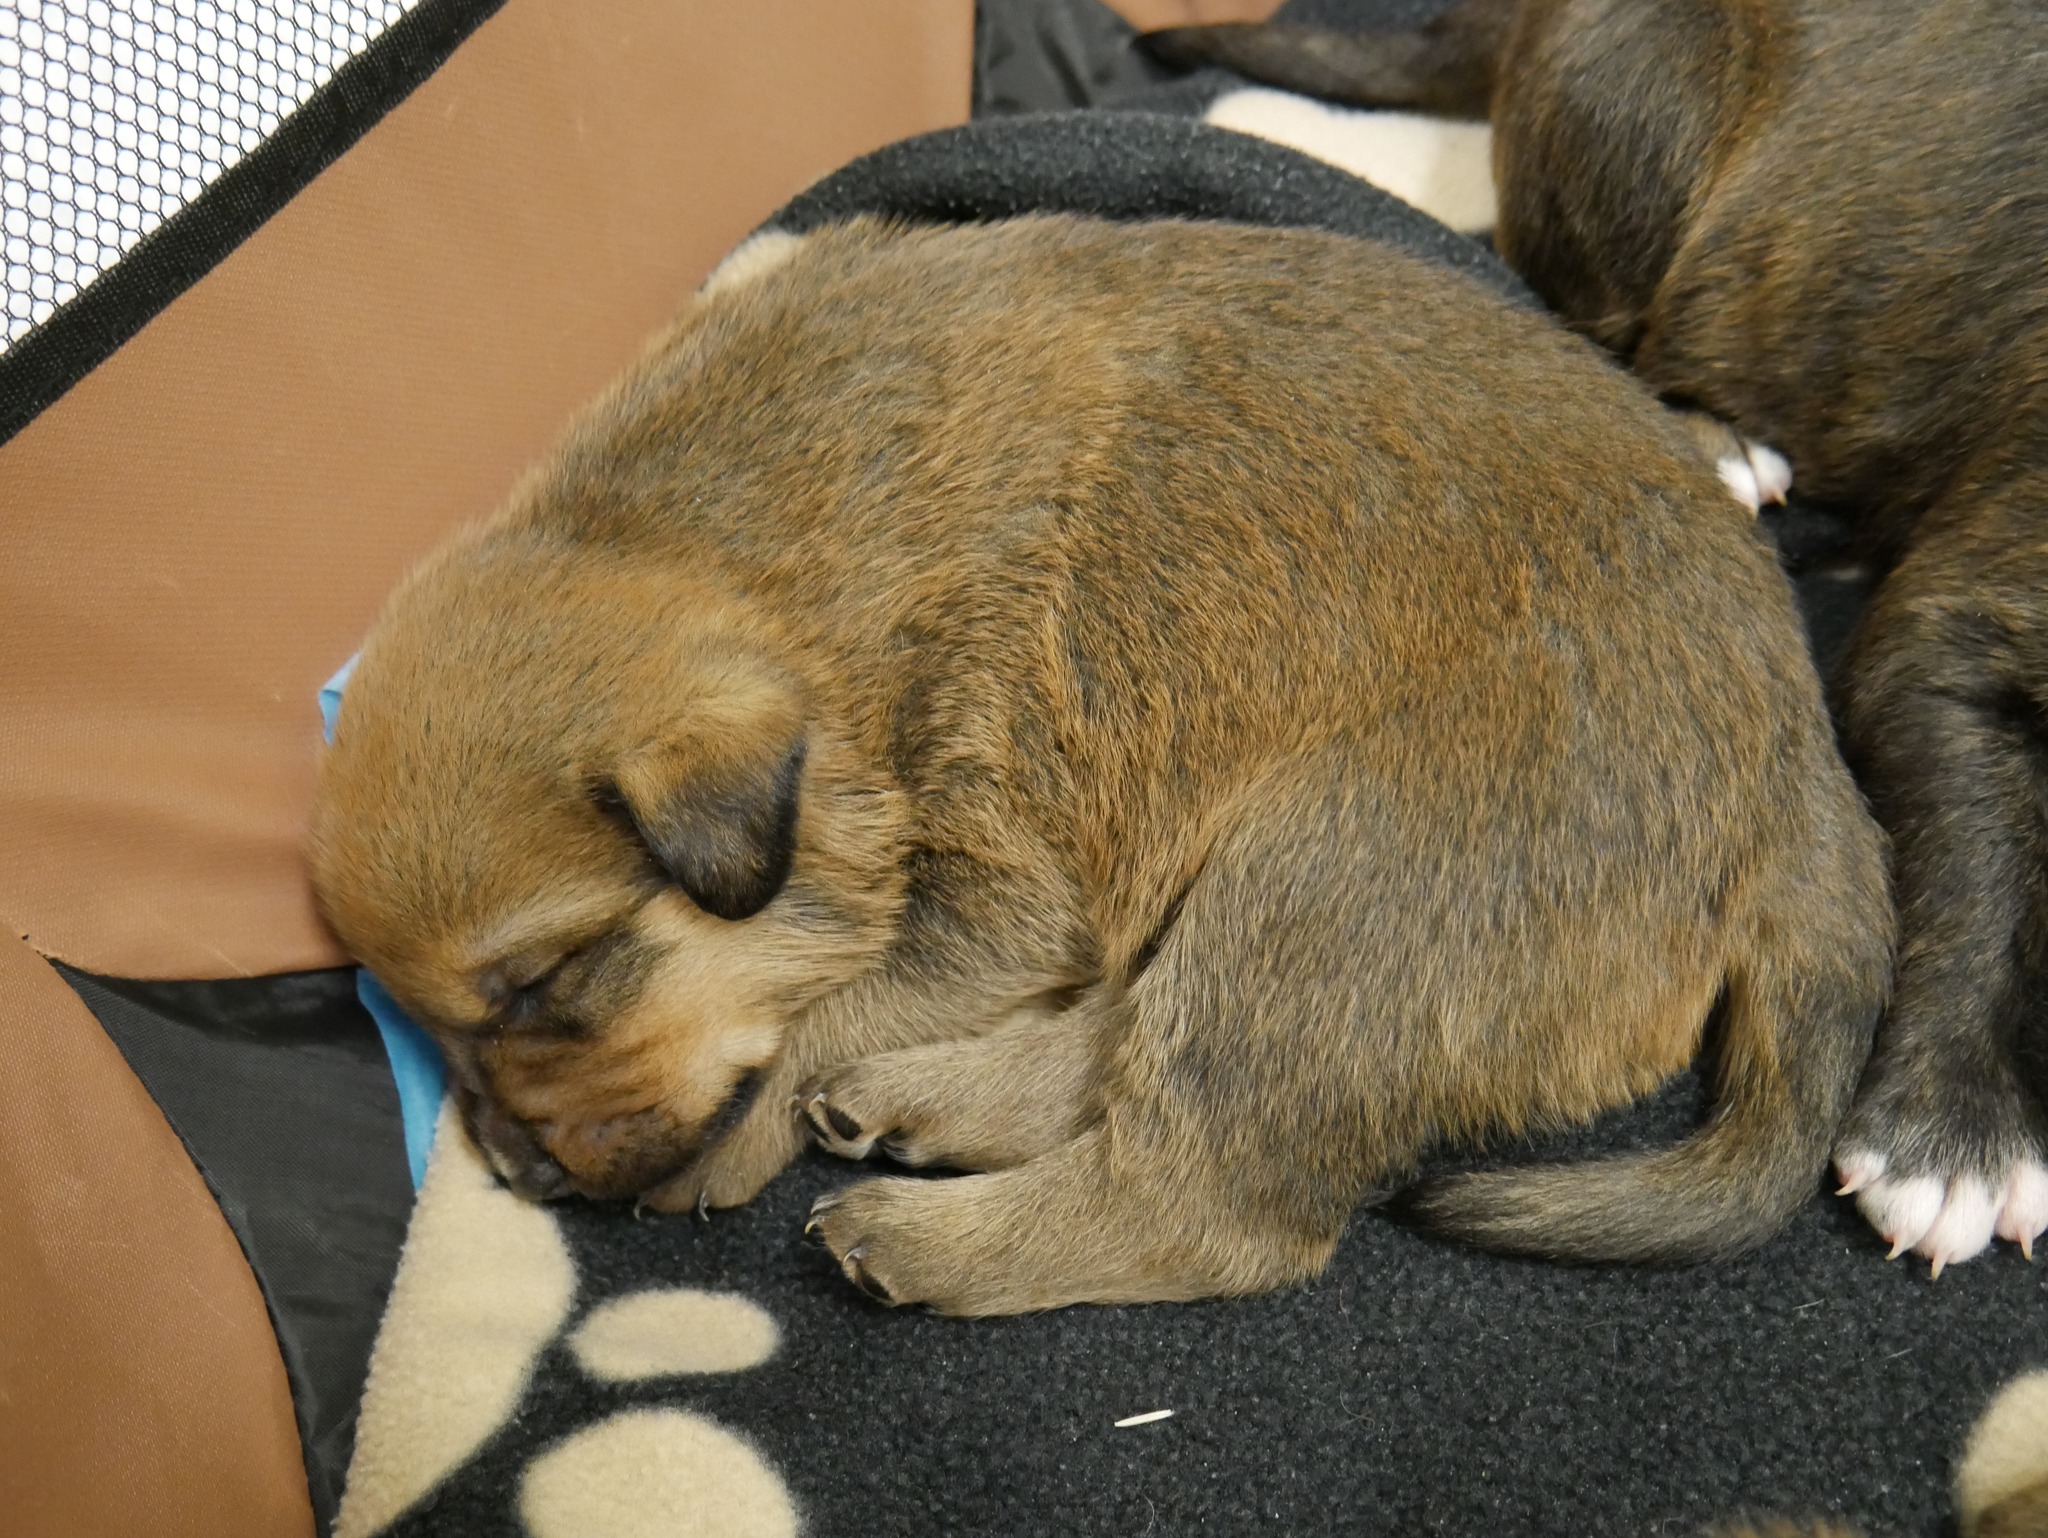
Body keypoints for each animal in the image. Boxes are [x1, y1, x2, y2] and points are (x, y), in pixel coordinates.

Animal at [307, 214, 1884, 1327]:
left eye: (547, 981)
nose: (520, 1174)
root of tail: (1807, 785)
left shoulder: (993, 860)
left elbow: (828, 1001)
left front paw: (736, 1137)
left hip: (1337, 874)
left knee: (1195, 1187)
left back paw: (918, 1232)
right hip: (1288, 902)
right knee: (1130, 1047)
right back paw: (929, 1106)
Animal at [1146, 0, 2048, 1277]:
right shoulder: (1945, 635)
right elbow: (1981, 865)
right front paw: (1951, 1132)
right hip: (1638, 138)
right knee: (1581, 311)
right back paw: (1718, 442)